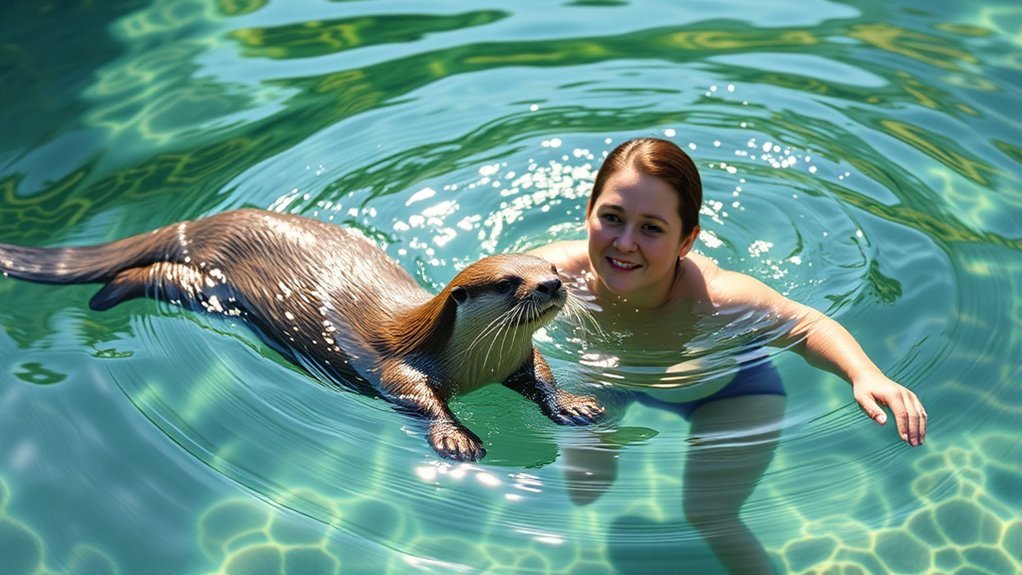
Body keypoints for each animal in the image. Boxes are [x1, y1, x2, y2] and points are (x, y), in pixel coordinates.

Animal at [0, 209, 603, 461]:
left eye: (549, 267)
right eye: (508, 282)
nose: (552, 285)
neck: (474, 366)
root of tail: (209, 222)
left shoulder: (514, 359)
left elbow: (539, 374)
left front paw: (572, 405)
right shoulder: (398, 369)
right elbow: (419, 400)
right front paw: (456, 437)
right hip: (208, 287)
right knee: (154, 276)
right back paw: (105, 296)